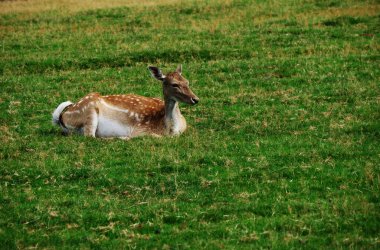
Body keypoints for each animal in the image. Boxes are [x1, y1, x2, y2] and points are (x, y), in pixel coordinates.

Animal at [52, 64, 199, 139]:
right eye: (175, 84)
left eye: (187, 82)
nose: (195, 99)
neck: (171, 129)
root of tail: (61, 115)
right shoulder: (141, 130)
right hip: (89, 110)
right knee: (90, 136)